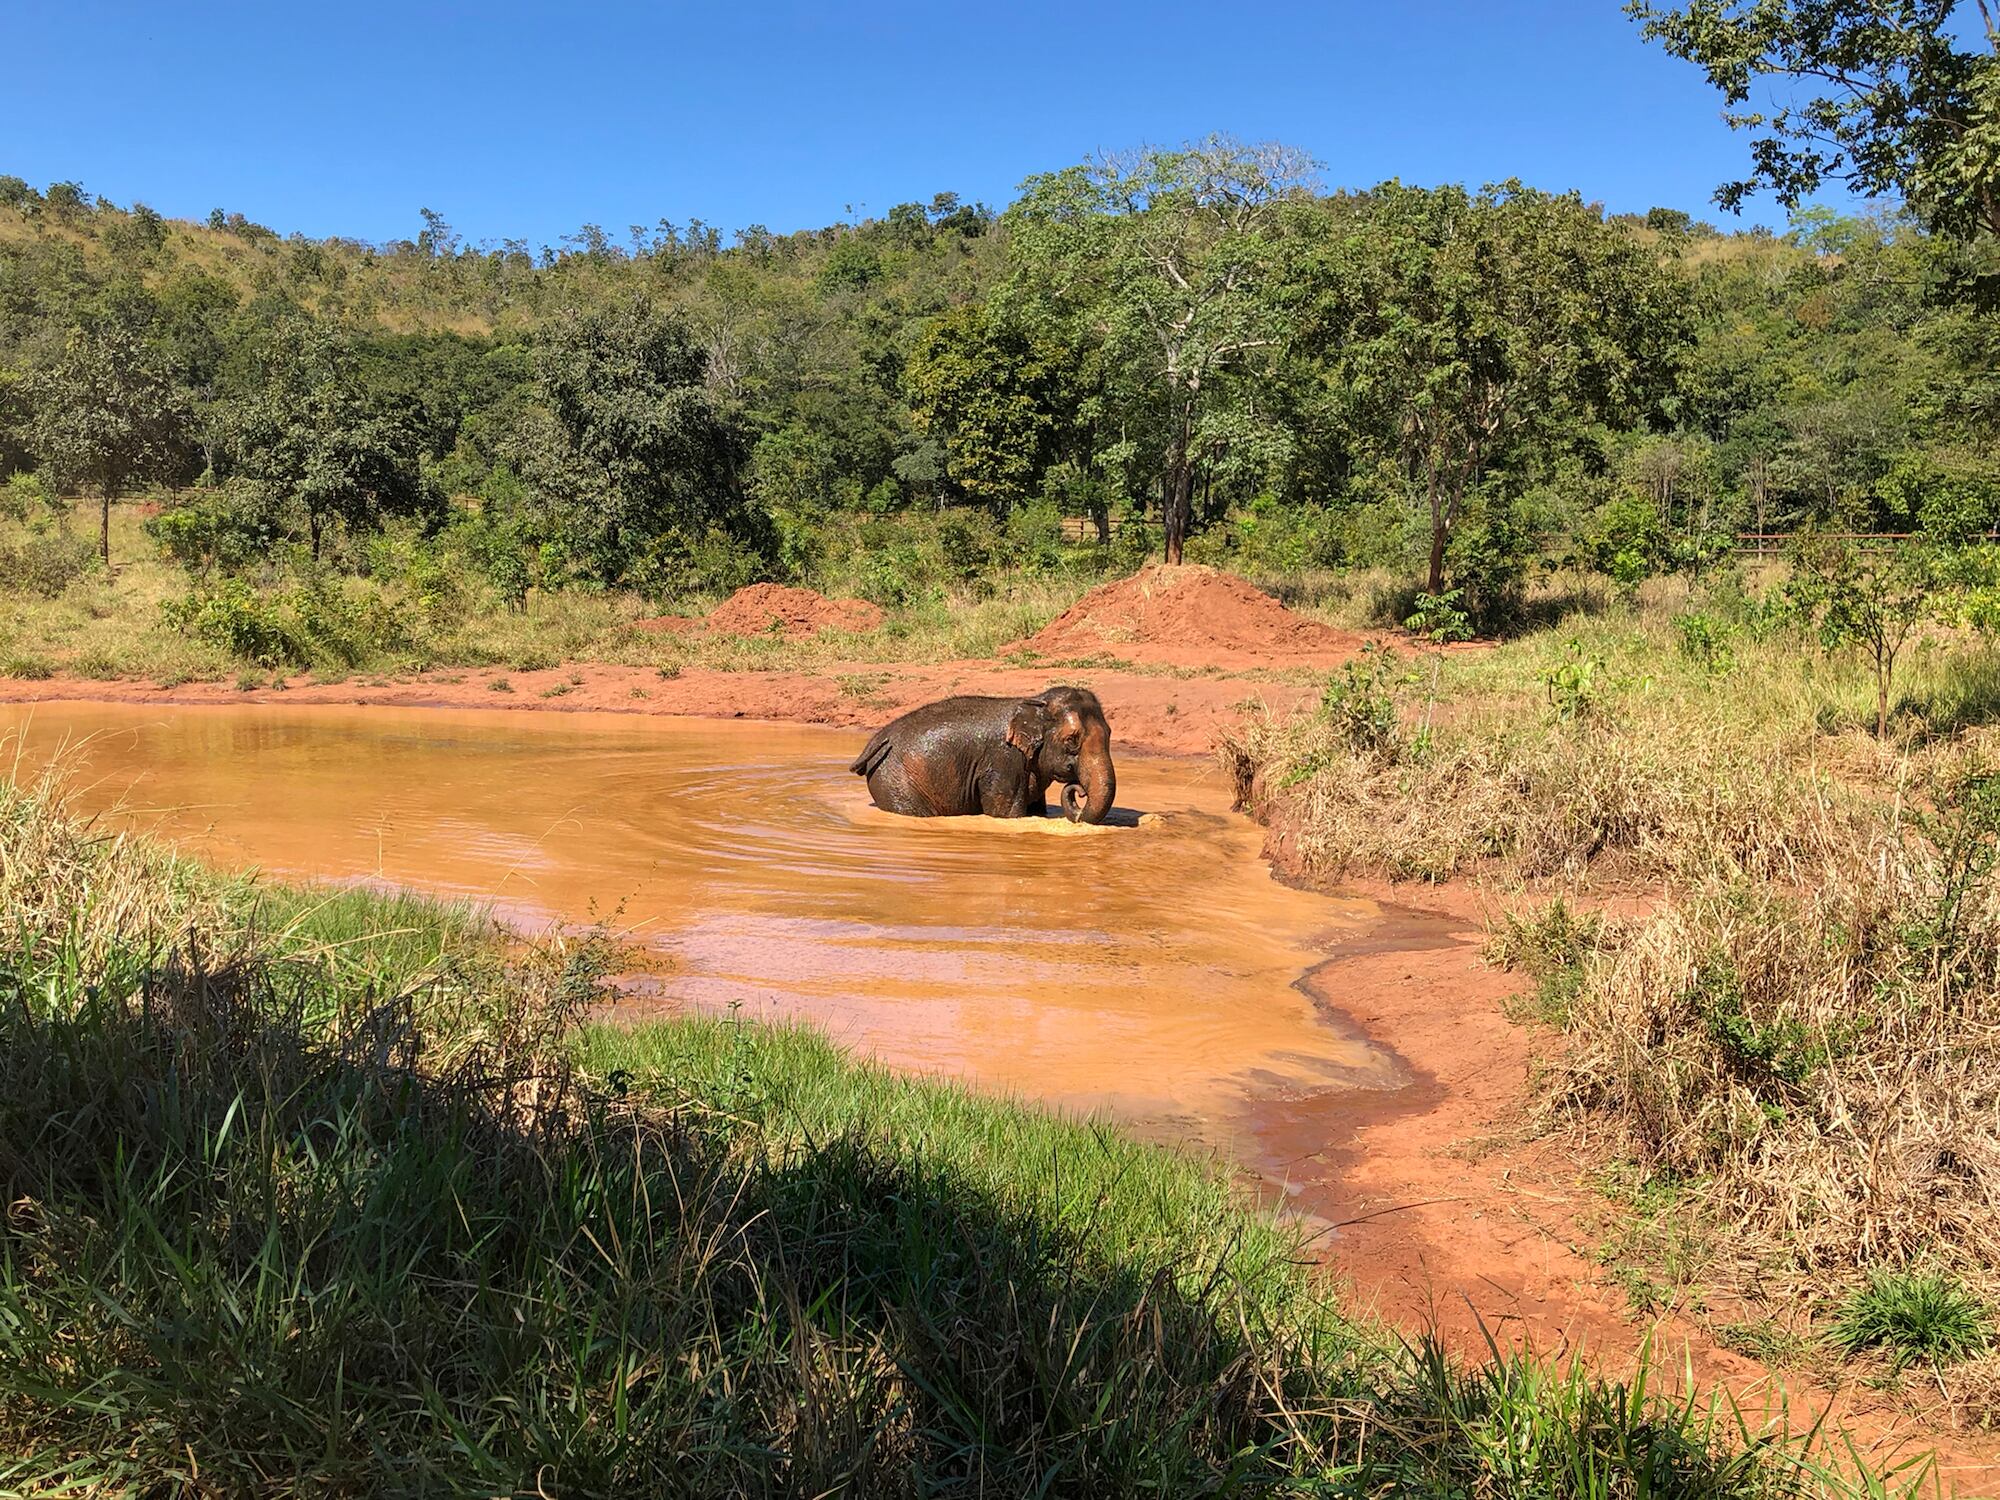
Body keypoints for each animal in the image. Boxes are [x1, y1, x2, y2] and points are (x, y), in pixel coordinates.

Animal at [848, 692, 1120, 828]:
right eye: (1072, 740)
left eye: (1110, 734)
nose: (1079, 790)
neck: (1035, 702)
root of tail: (878, 738)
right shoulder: (1002, 763)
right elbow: (1008, 815)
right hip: (894, 781)